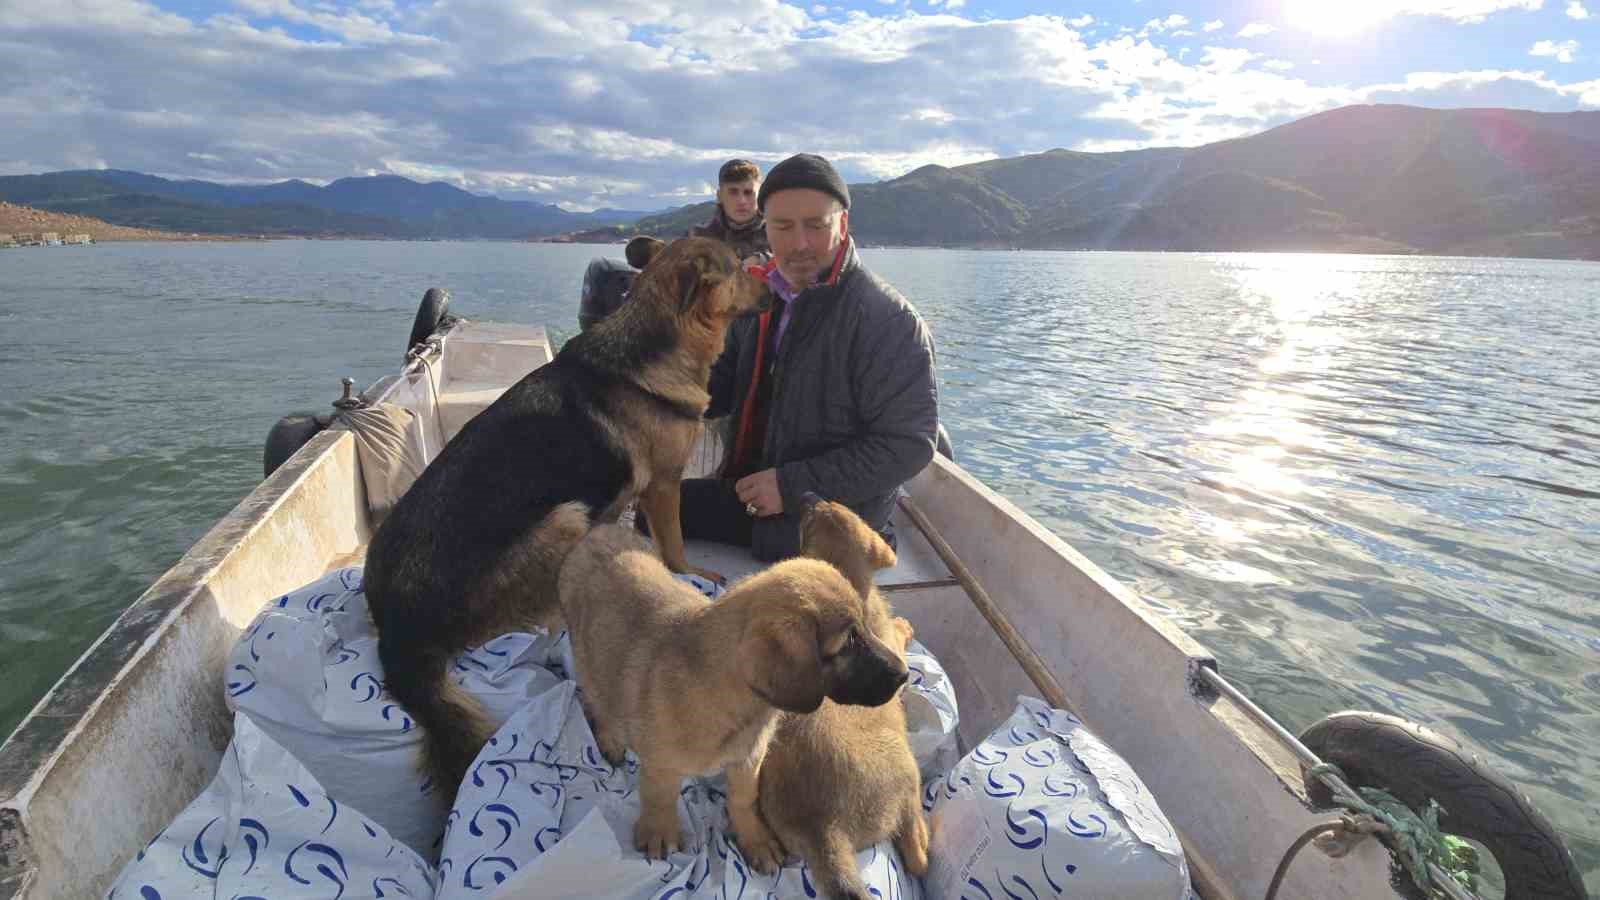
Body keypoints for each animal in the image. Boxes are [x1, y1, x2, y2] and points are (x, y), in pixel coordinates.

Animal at [369, 235, 780, 794]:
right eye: (739, 268)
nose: (775, 287)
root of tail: (397, 629)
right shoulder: (664, 486)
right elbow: (674, 547)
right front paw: (687, 574)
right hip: (565, 517)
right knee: (544, 619)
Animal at [560, 525, 915, 864]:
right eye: (848, 643)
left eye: (866, 627)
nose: (904, 674)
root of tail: (600, 530)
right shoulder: (662, 765)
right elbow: (659, 798)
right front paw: (659, 831)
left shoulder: (749, 760)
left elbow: (744, 800)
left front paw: (755, 840)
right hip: (585, 653)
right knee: (595, 695)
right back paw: (609, 738)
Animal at [752, 496, 934, 896]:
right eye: (810, 518)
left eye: (828, 507)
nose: (806, 495)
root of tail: (823, 829)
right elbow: (898, 637)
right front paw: (905, 626)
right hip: (907, 770)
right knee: (916, 854)